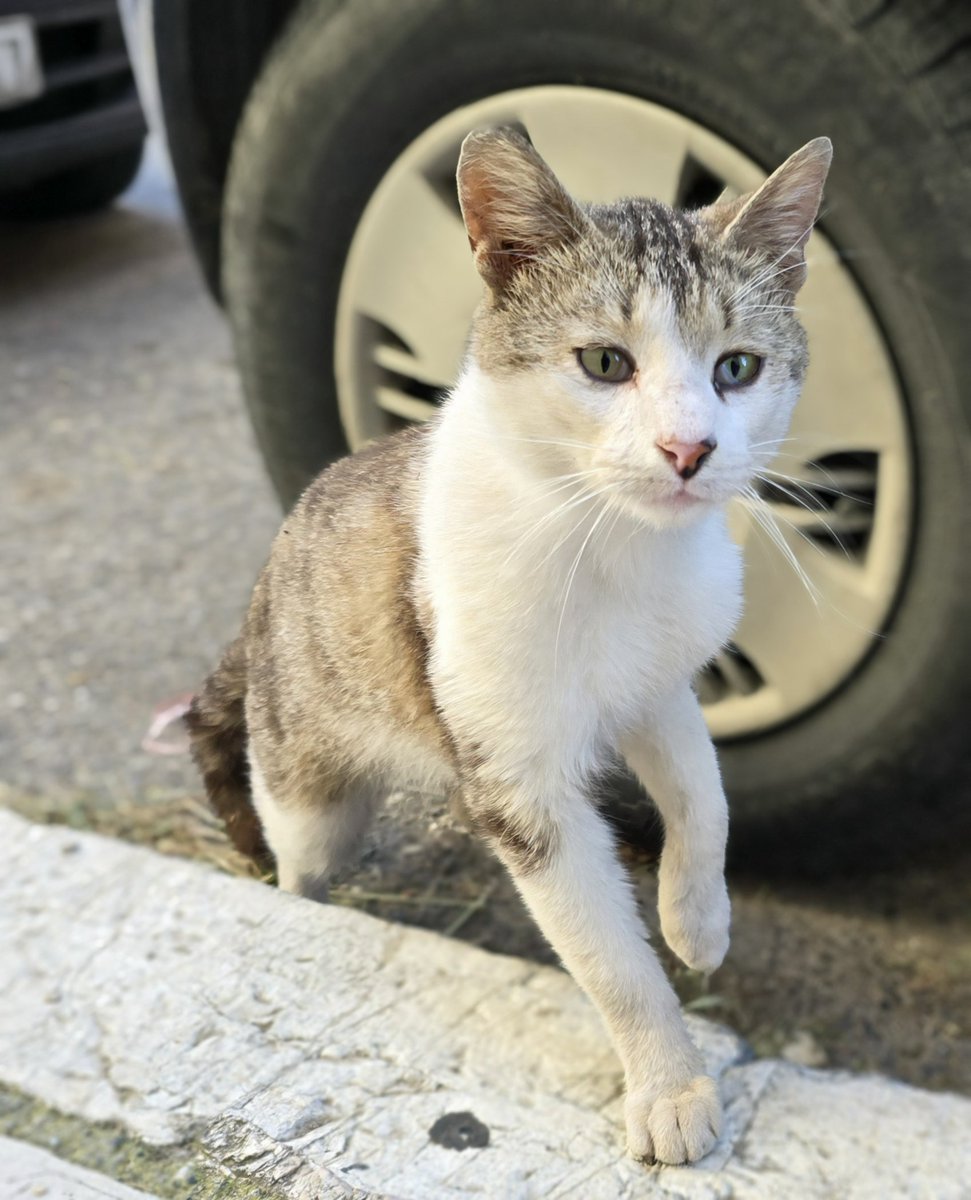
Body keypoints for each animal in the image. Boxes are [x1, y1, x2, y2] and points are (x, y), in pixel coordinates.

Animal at [186, 126, 830, 1166]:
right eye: (604, 361)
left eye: (737, 368)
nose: (689, 450)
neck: (611, 546)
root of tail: (263, 587)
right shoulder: (520, 787)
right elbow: (608, 959)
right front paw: (669, 1085)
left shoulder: (657, 686)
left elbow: (705, 797)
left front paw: (697, 921)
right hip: (304, 781)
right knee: (301, 854)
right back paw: (304, 905)